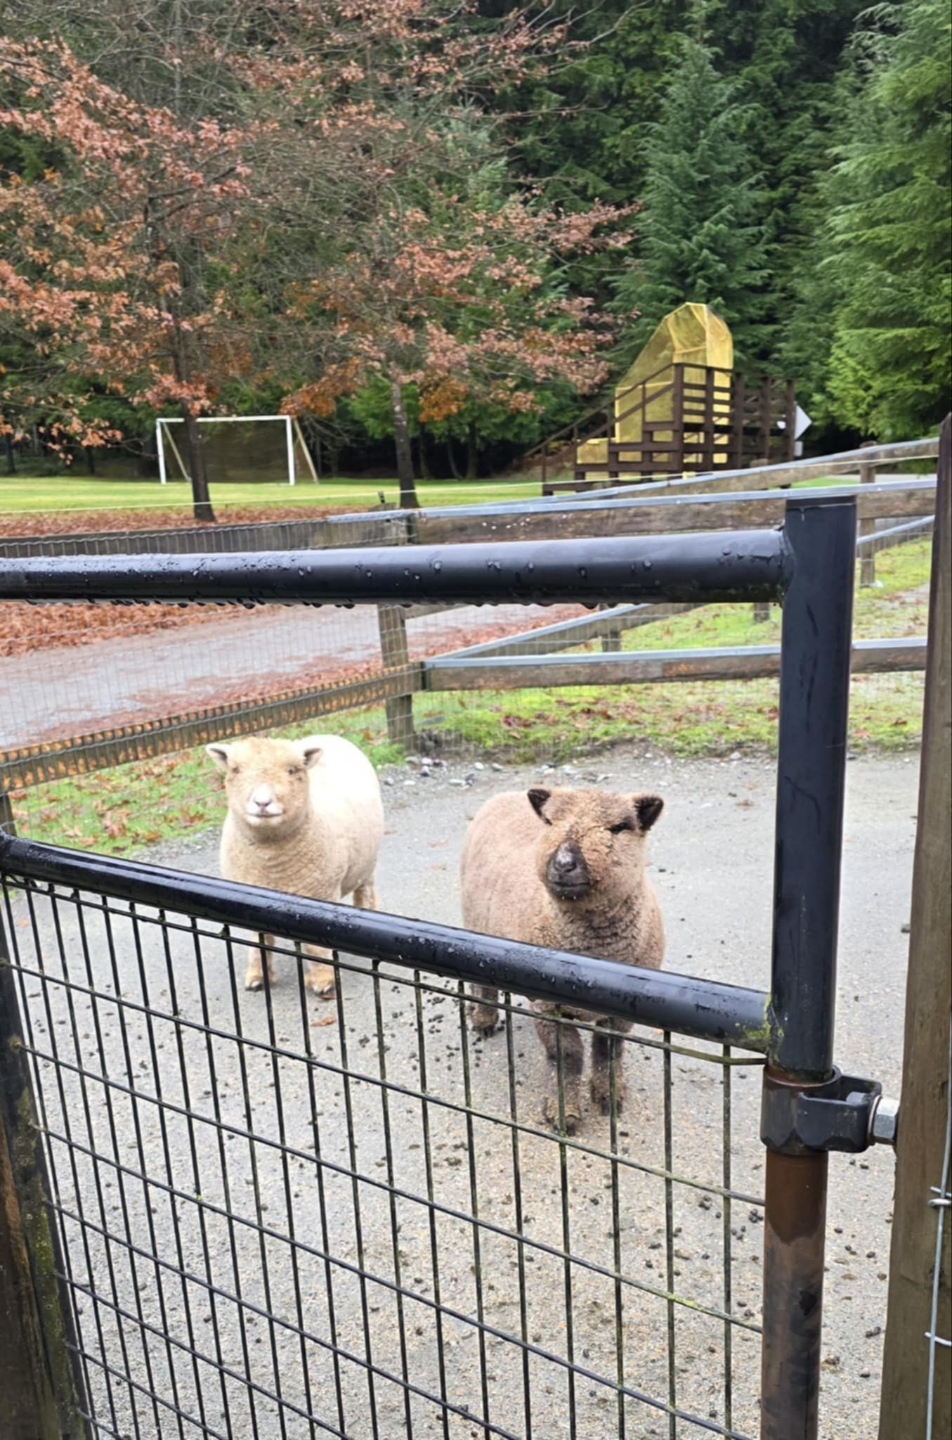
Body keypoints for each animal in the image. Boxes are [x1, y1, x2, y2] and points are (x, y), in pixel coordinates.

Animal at [206, 733, 384, 997]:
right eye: (236, 770)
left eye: (291, 770)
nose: (262, 802)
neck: (271, 863)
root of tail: (329, 736)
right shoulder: (247, 900)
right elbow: (258, 941)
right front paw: (258, 977)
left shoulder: (321, 894)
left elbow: (315, 947)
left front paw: (323, 981)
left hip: (368, 863)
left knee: (366, 892)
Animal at [461, 785, 664, 1133]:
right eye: (550, 822)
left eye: (619, 827)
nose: (564, 863)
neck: (595, 961)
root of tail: (503, 793)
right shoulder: (546, 1004)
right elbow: (566, 1056)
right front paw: (562, 1113)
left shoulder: (623, 1011)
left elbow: (608, 1049)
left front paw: (609, 1095)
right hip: (473, 923)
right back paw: (484, 1019)